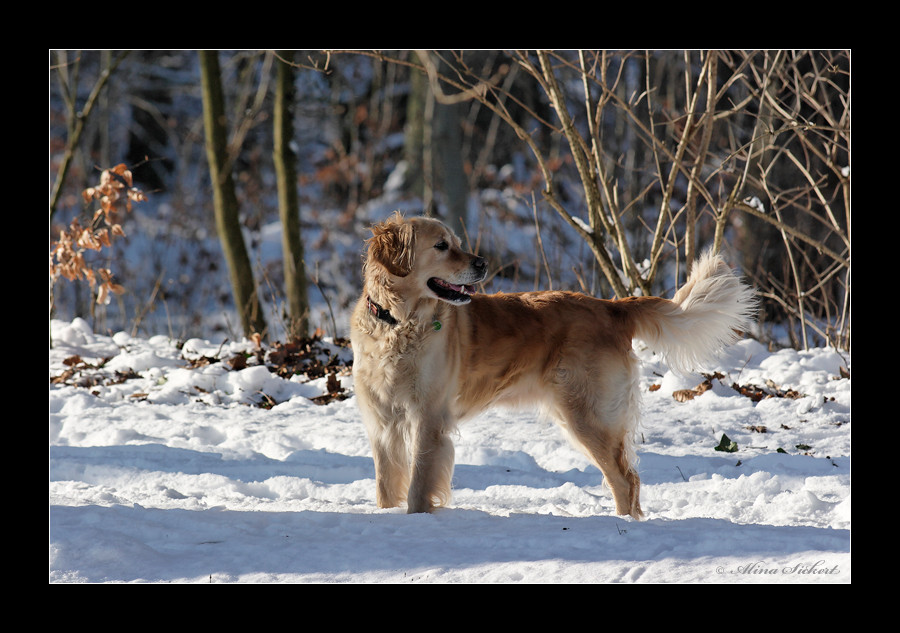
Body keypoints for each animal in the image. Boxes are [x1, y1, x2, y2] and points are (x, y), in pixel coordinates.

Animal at [348, 212, 756, 520]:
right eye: (441, 245)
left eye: (456, 242)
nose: (482, 263)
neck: (396, 324)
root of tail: (611, 306)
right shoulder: (381, 423)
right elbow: (386, 485)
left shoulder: (429, 418)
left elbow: (418, 486)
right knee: (630, 478)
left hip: (587, 415)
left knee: (625, 479)